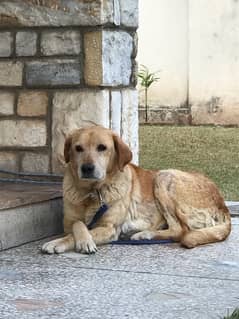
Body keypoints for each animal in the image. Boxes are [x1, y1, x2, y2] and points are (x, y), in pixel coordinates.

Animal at [42, 125, 231, 255]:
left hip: (163, 176)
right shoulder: (69, 223)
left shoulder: (109, 228)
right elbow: (78, 224)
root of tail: (223, 205)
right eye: (78, 148)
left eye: (102, 147)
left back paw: (144, 234)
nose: (87, 168)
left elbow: (80, 231)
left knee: (181, 230)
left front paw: (77, 242)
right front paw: (74, 240)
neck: (91, 192)